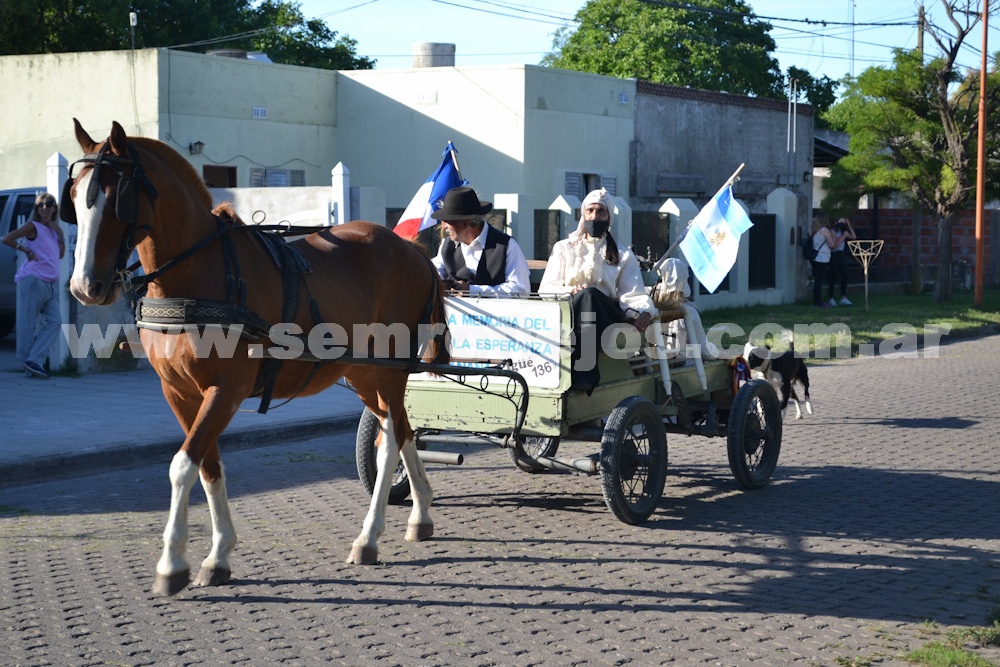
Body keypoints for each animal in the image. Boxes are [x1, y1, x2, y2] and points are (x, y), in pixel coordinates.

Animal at [64, 120, 448, 596]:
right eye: (74, 197)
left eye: (117, 196)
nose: (85, 287)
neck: (197, 273)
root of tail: (412, 248)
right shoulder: (179, 392)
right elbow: (208, 466)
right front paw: (218, 554)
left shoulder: (226, 390)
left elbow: (183, 465)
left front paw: (173, 562)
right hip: (364, 374)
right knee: (402, 429)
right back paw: (421, 512)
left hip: (387, 367)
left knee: (390, 441)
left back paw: (369, 537)